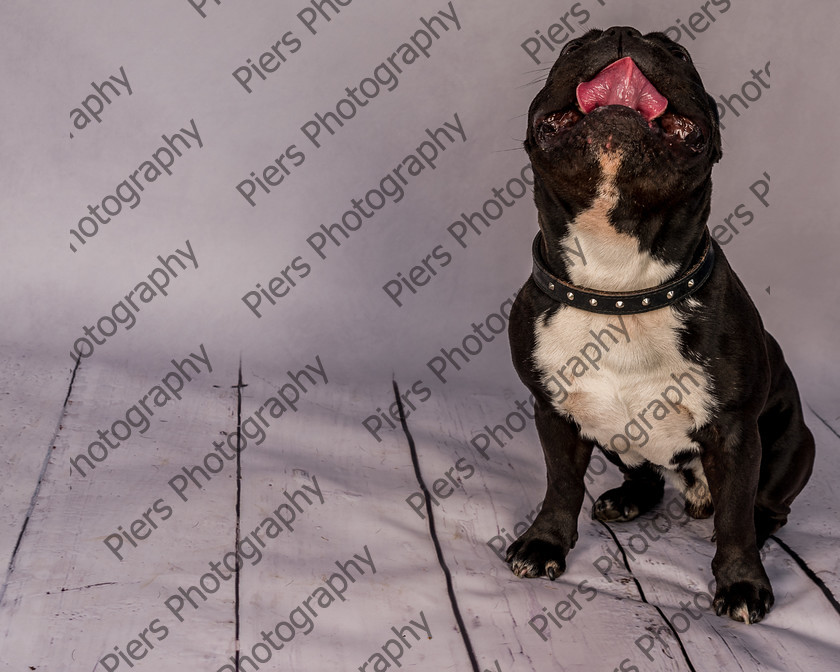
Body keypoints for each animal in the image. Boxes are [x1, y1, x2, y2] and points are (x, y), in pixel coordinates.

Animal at [506, 26, 812, 624]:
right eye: (574, 45)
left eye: (679, 53)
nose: (620, 33)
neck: (620, 285)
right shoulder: (555, 413)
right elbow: (560, 484)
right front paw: (545, 541)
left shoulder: (735, 433)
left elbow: (735, 518)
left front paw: (741, 582)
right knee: (641, 471)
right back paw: (627, 499)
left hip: (794, 444)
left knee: (764, 506)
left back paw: (758, 529)